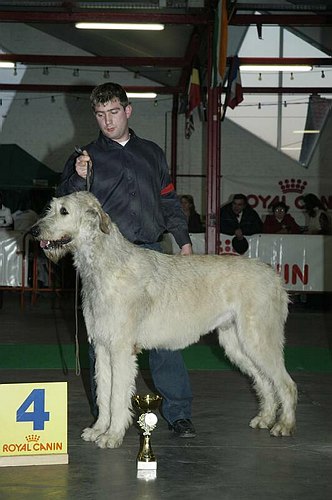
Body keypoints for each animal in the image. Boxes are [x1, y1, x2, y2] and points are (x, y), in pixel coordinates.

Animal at [30, 191, 296, 450]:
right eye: (50, 208)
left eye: (64, 211)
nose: (34, 231)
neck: (104, 264)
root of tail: (275, 277)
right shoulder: (102, 347)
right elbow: (103, 392)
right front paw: (98, 429)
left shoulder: (121, 349)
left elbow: (117, 396)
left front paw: (112, 435)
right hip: (236, 343)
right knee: (263, 380)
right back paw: (265, 418)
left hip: (259, 338)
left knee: (286, 383)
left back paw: (284, 424)